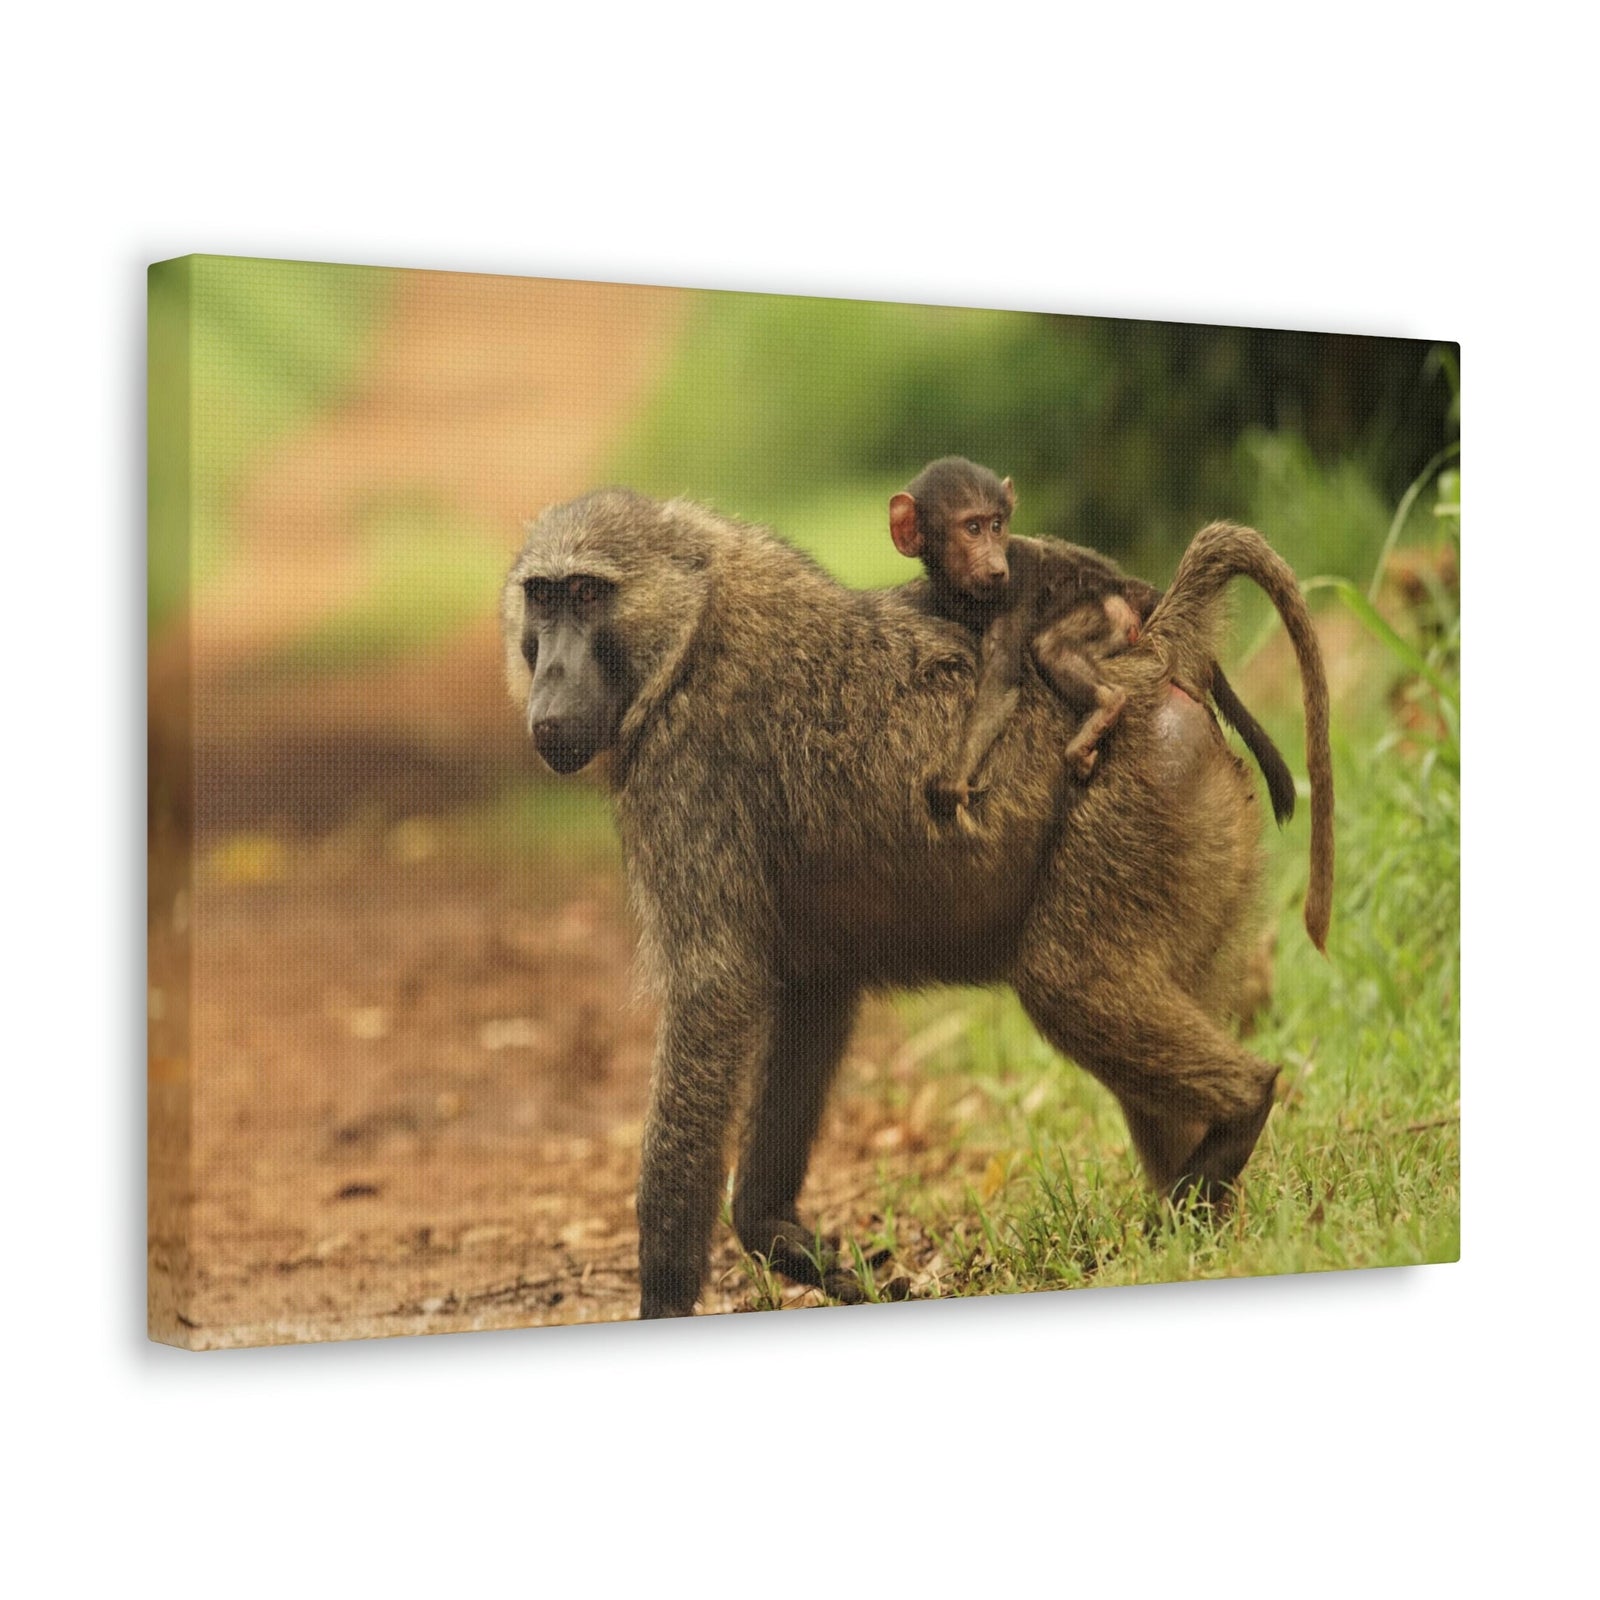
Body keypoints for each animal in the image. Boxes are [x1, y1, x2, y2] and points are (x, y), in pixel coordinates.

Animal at [890, 457, 1299, 824]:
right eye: (972, 528)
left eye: (996, 525)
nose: (994, 565)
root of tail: (1129, 586)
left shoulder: (1017, 579)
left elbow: (1001, 678)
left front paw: (955, 779)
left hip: (1112, 615)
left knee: (1051, 646)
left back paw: (1107, 704)